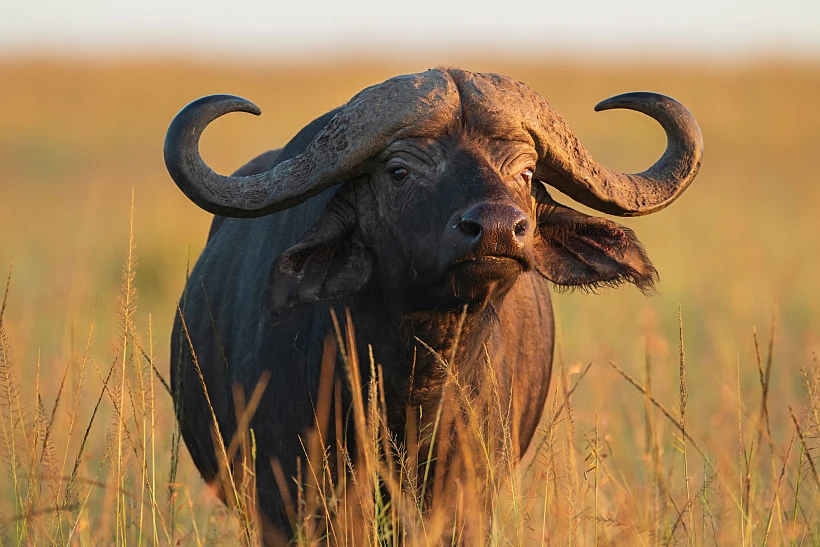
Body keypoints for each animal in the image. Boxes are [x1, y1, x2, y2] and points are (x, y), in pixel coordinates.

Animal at [164, 68, 702, 542]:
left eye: (526, 172)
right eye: (399, 171)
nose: (498, 228)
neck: (416, 384)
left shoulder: (466, 500)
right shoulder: (291, 500)